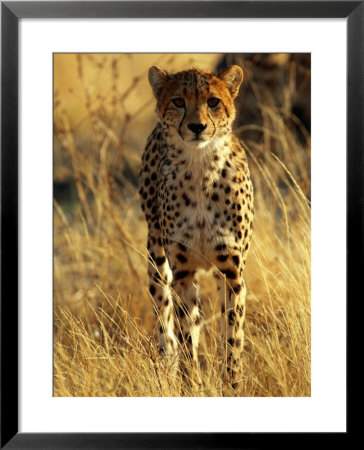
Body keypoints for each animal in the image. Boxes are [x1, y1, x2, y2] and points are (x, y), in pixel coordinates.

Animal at [139, 64, 253, 390]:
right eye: (178, 101)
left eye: (213, 101)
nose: (197, 127)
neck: (201, 166)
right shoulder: (183, 271)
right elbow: (185, 333)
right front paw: (191, 385)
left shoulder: (231, 271)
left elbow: (232, 336)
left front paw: (232, 385)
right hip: (156, 258)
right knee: (165, 321)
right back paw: (167, 365)